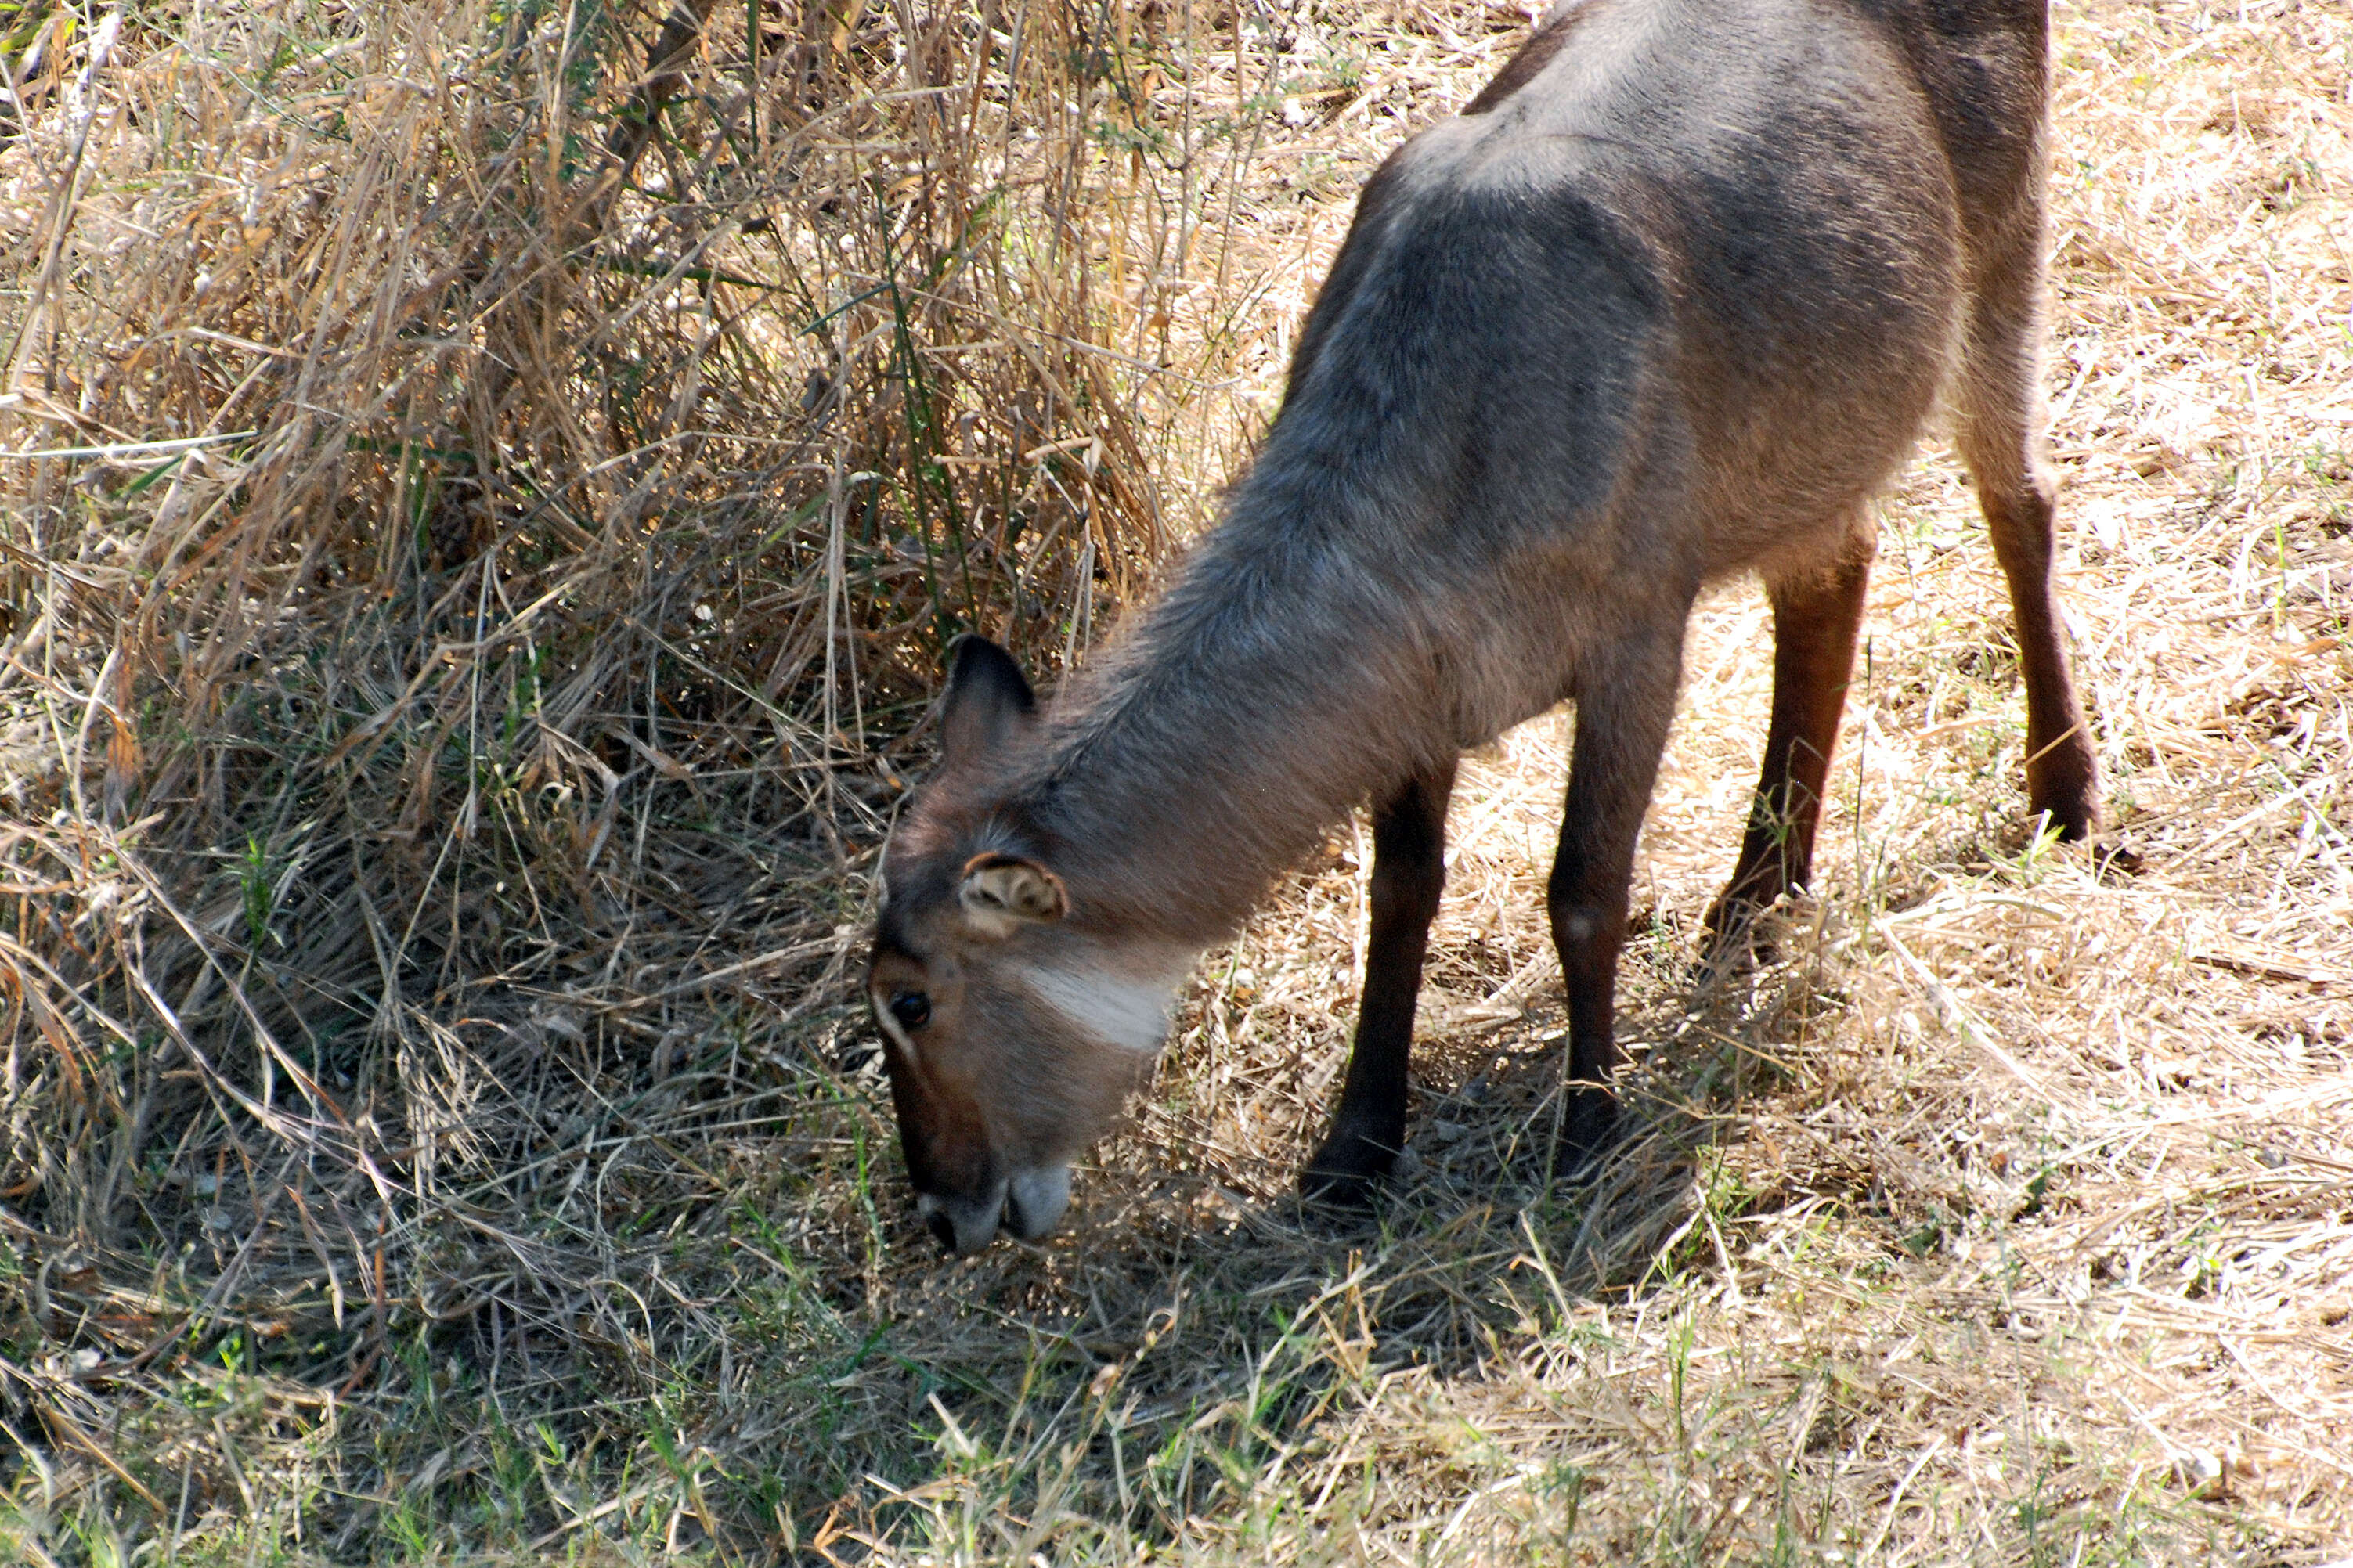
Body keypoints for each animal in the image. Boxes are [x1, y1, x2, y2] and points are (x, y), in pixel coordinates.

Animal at [870, 0, 2117, 1260]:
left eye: (909, 995)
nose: (939, 1210)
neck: (1442, 412)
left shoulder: (1634, 640)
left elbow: (1583, 891)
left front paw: (1588, 1129)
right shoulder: (1420, 691)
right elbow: (1399, 893)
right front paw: (1352, 1152)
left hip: (2003, 262)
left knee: (2021, 506)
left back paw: (2066, 797)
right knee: (1834, 575)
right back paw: (1756, 897)